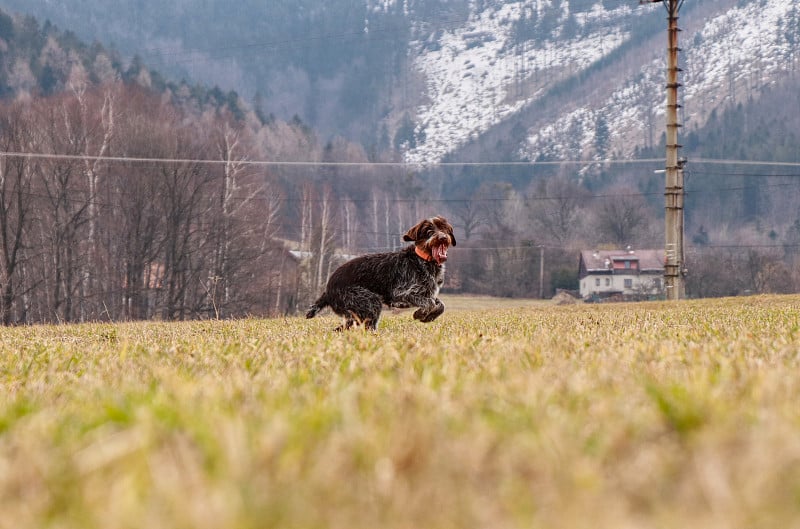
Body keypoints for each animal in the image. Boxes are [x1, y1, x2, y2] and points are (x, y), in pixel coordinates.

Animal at [306, 214, 456, 330]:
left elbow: (440, 304)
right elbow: (429, 303)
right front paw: (420, 314)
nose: (443, 237)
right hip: (369, 302)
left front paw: (428, 316)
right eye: (429, 231)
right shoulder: (401, 294)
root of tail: (328, 291)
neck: (424, 261)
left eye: (444, 228)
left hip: (358, 313)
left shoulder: (427, 293)